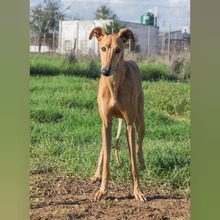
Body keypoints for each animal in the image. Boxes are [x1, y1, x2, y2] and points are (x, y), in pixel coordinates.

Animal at [88, 26, 147, 202]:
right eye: (103, 48)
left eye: (118, 50)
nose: (105, 71)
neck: (114, 84)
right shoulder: (106, 122)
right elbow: (106, 159)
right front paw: (102, 190)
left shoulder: (129, 125)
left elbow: (133, 163)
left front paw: (138, 191)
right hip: (106, 126)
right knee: (104, 149)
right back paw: (96, 174)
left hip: (140, 122)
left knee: (138, 147)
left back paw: (143, 165)